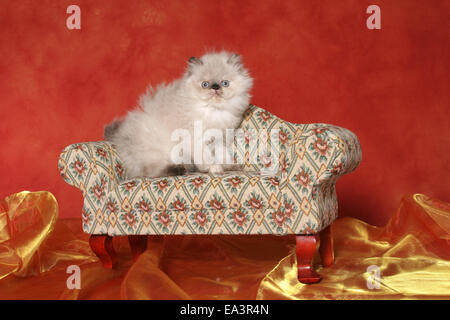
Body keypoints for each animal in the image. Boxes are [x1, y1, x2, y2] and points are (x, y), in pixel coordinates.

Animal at [104, 51, 253, 179]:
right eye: (205, 84)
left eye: (225, 83)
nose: (215, 88)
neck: (214, 111)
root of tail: (120, 136)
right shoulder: (197, 139)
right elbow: (207, 158)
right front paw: (214, 168)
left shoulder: (220, 138)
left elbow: (223, 155)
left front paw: (228, 166)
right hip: (158, 151)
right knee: (150, 171)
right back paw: (178, 169)